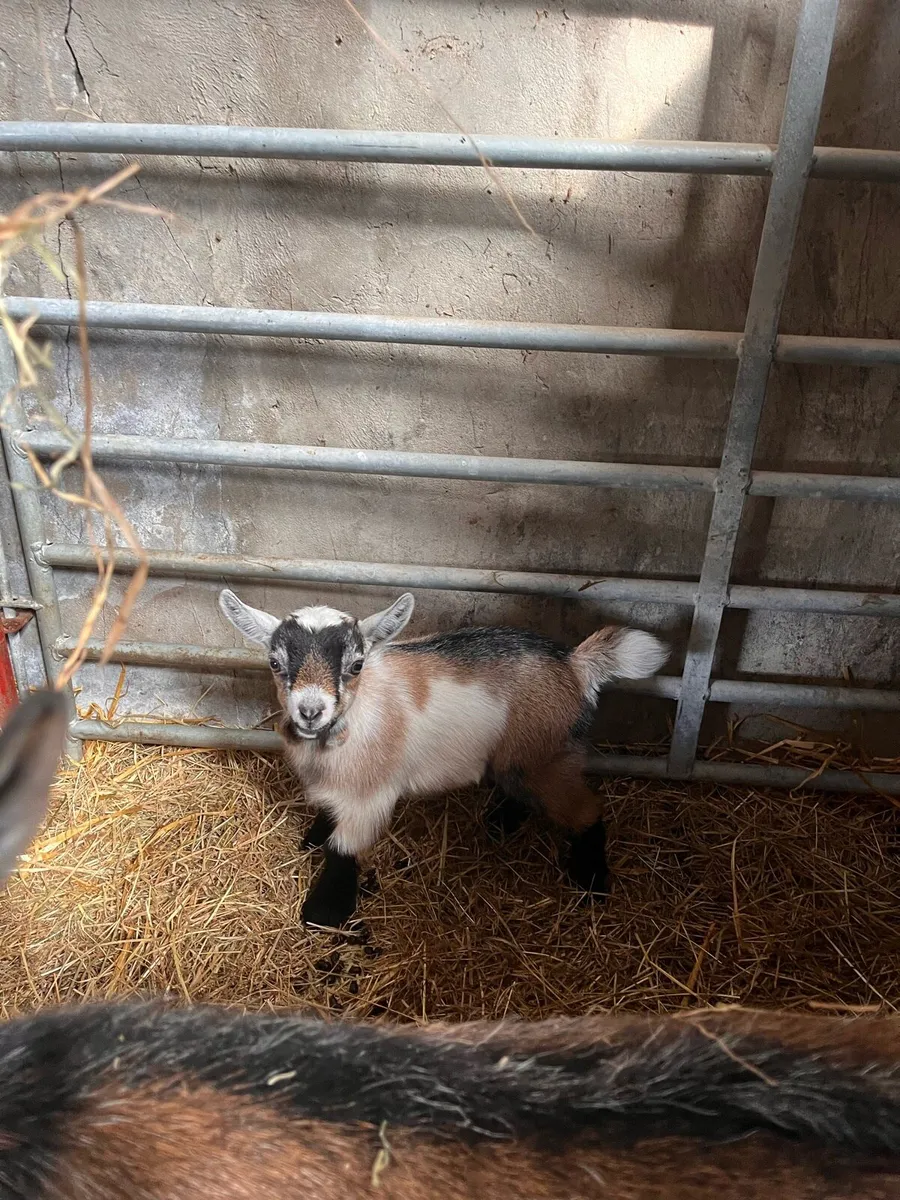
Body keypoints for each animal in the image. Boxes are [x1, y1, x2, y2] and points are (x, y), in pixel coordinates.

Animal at [219, 590, 668, 927]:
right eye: (274, 663)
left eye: (356, 664)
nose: (310, 711)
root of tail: (575, 664)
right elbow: (328, 818)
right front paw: (313, 836)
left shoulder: (370, 796)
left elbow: (343, 849)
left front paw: (323, 911)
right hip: (518, 754)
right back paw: (500, 822)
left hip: (543, 755)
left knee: (585, 808)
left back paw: (591, 880)